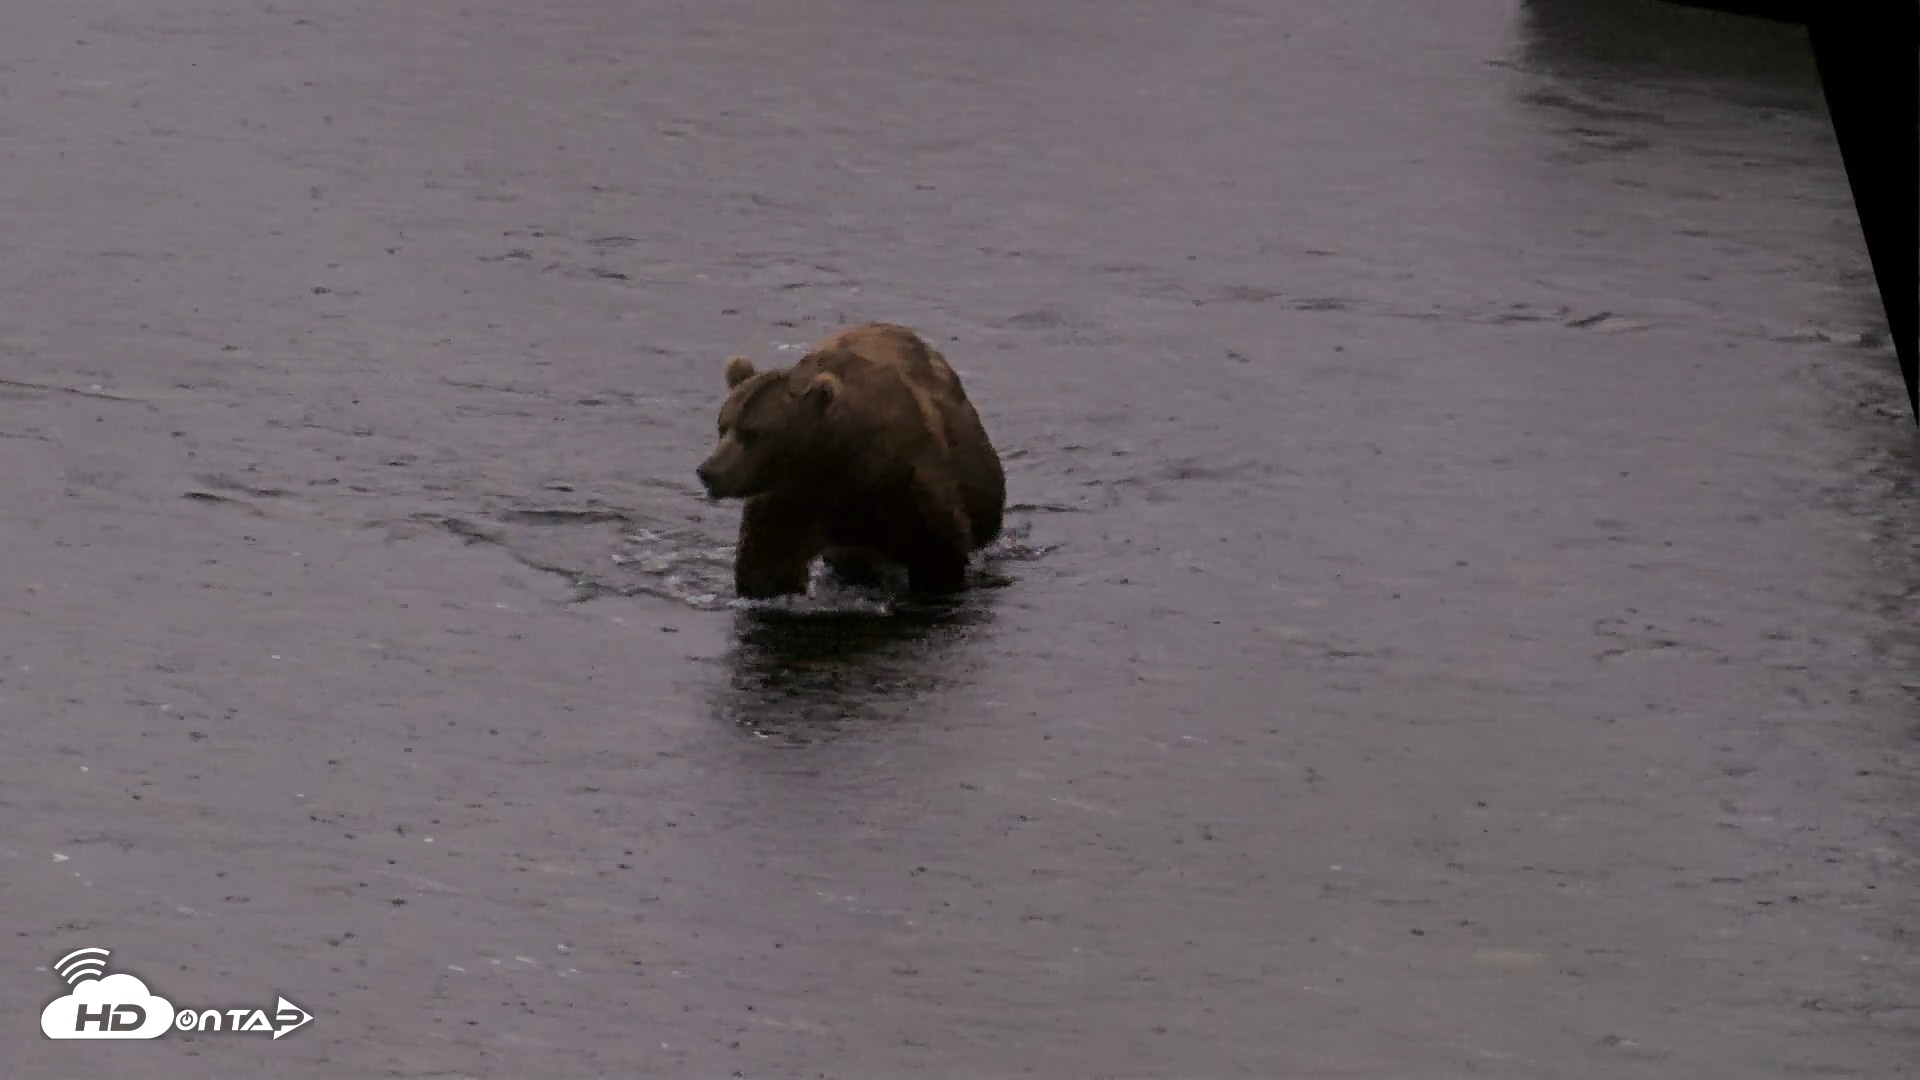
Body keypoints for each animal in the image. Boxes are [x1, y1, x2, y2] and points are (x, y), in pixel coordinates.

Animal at [695, 322, 1006, 599]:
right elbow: (768, 565)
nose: (708, 471)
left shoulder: (905, 483)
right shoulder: (791, 500)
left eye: (753, 433)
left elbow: (937, 553)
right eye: (723, 426)